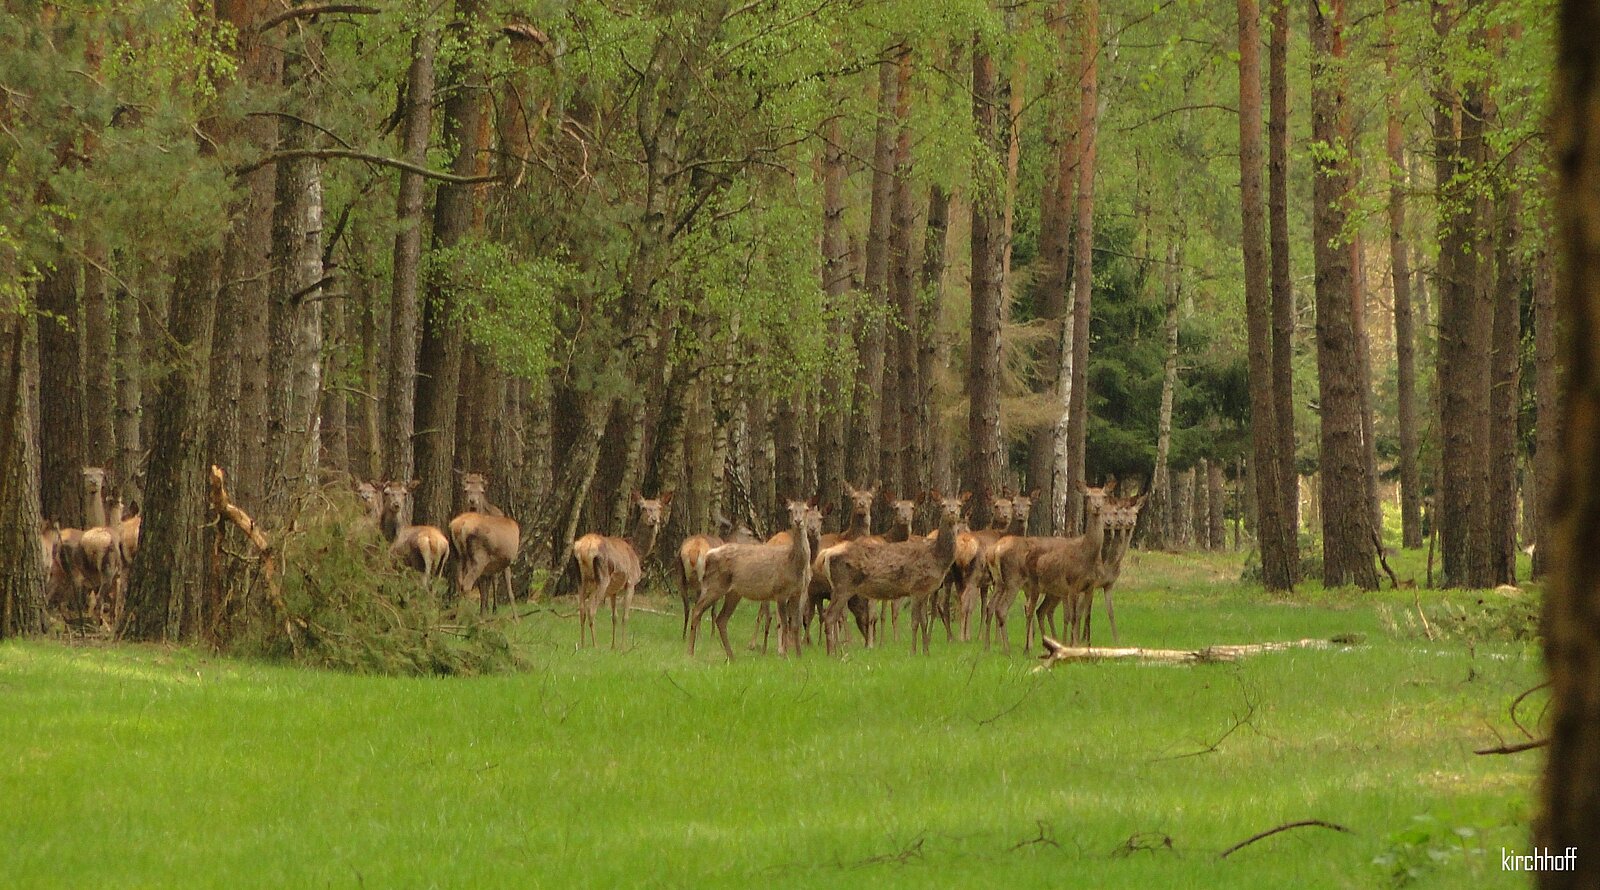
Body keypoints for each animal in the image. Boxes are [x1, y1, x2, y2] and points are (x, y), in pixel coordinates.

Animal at [451, 473, 524, 611]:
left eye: (482, 491)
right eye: (466, 490)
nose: (472, 501)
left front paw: (486, 609)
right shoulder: (505, 561)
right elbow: (507, 590)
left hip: (460, 556)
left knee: (461, 582)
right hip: (479, 558)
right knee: (470, 584)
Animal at [569, 493, 668, 646]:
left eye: (659, 507)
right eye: (643, 507)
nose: (654, 519)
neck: (637, 552)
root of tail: (584, 548)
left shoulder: (614, 589)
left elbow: (614, 616)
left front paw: (613, 646)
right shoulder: (631, 581)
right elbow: (625, 616)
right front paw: (623, 647)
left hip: (581, 578)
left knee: (581, 609)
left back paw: (583, 644)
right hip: (603, 577)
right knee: (591, 608)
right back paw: (595, 645)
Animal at [688, 496, 812, 656]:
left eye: (806, 509)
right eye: (790, 509)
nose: (798, 521)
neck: (792, 563)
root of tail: (708, 555)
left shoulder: (797, 592)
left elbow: (795, 625)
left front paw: (798, 656)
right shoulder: (780, 592)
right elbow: (784, 624)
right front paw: (784, 655)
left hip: (733, 592)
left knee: (721, 619)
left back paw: (731, 656)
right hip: (714, 585)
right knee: (697, 610)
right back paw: (690, 652)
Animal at [819, 493, 966, 653]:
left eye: (959, 505)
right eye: (943, 505)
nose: (952, 512)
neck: (937, 557)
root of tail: (827, 553)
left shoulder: (926, 590)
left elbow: (924, 621)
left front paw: (926, 651)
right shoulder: (916, 587)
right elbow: (915, 622)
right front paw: (913, 652)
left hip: (838, 587)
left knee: (831, 615)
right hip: (843, 585)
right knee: (829, 616)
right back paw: (832, 653)